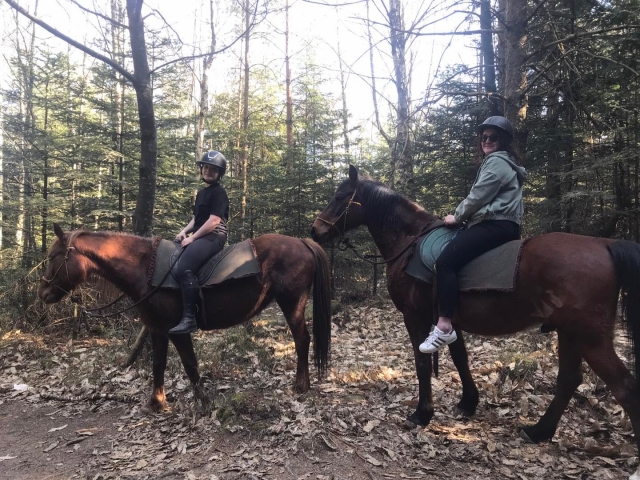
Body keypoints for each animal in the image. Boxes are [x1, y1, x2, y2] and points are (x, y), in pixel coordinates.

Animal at [38, 224, 331, 413]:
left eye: (52, 256)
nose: (43, 293)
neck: (145, 269)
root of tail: (302, 242)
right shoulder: (156, 329)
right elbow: (158, 364)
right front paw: (156, 403)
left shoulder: (176, 330)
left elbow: (190, 365)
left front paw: (203, 403)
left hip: (293, 304)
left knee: (302, 339)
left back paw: (301, 386)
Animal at [311, 165, 640, 465]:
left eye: (340, 196)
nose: (316, 230)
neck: (409, 241)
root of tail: (605, 244)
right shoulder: (448, 320)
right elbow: (460, 358)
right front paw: (468, 402)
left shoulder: (416, 317)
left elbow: (421, 362)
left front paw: (422, 413)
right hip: (569, 332)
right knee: (569, 380)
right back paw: (538, 431)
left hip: (589, 336)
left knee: (624, 387)